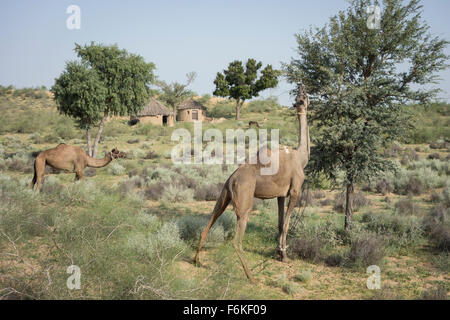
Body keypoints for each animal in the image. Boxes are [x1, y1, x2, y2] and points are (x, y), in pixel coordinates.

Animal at [195, 84, 312, 282]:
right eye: (301, 98)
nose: (303, 89)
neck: (301, 157)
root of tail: (231, 179)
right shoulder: (295, 190)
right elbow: (286, 224)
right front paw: (284, 255)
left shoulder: (280, 195)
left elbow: (279, 223)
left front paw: (279, 253)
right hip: (244, 202)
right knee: (237, 240)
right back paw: (252, 277)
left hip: (224, 196)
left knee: (208, 223)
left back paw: (196, 261)